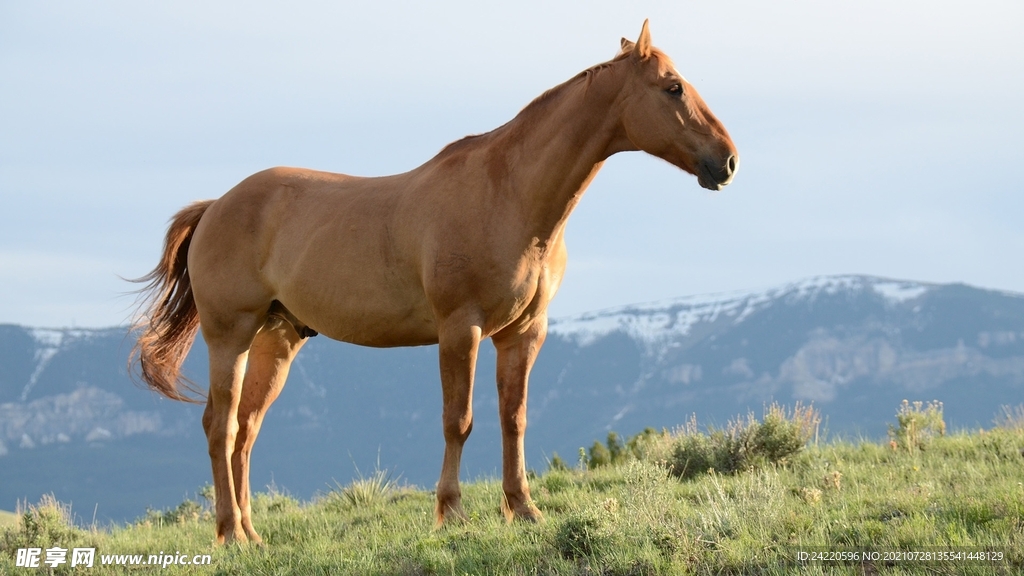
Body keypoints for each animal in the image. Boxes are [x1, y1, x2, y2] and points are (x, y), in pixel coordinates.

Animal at [131, 20, 737, 544]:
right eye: (673, 87)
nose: (727, 161)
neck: (509, 195)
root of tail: (216, 206)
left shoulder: (524, 333)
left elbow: (513, 418)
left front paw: (523, 509)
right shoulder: (459, 330)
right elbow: (458, 421)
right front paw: (451, 513)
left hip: (276, 340)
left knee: (246, 430)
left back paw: (251, 534)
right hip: (230, 335)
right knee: (221, 426)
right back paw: (231, 533)